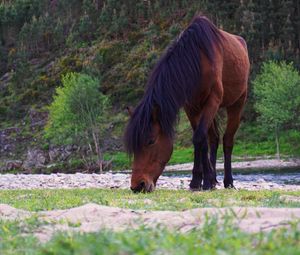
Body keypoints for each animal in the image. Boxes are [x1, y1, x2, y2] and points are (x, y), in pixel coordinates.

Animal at [123, 15, 248, 191]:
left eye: (151, 141)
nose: (138, 185)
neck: (197, 60)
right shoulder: (191, 107)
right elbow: (200, 140)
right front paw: (198, 181)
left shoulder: (212, 100)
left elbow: (199, 138)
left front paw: (205, 181)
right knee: (214, 138)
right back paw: (214, 179)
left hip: (236, 104)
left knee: (227, 141)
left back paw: (228, 181)